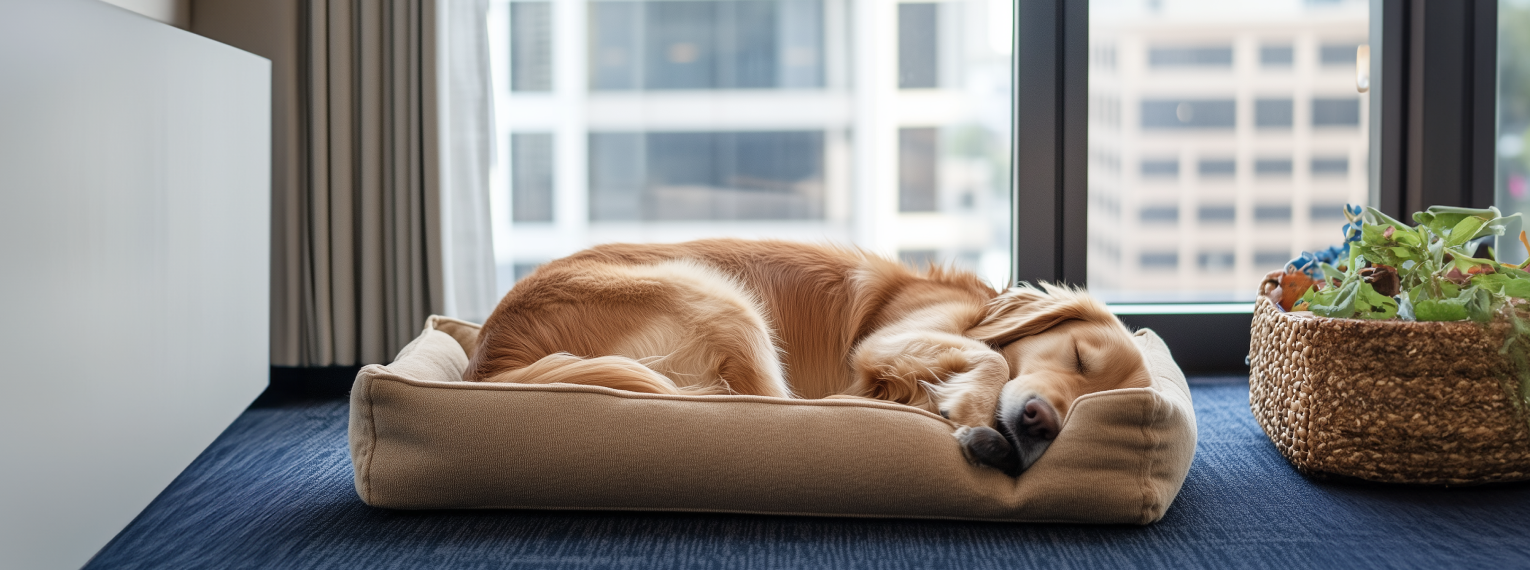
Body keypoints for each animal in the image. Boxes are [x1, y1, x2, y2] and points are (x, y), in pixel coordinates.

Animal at [465, 236, 1150, 473]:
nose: (1041, 421)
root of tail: (494, 357)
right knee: (780, 406)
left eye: (1091, 399)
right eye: (1079, 357)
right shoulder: (884, 341)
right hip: (722, 298)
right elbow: (994, 359)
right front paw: (971, 412)